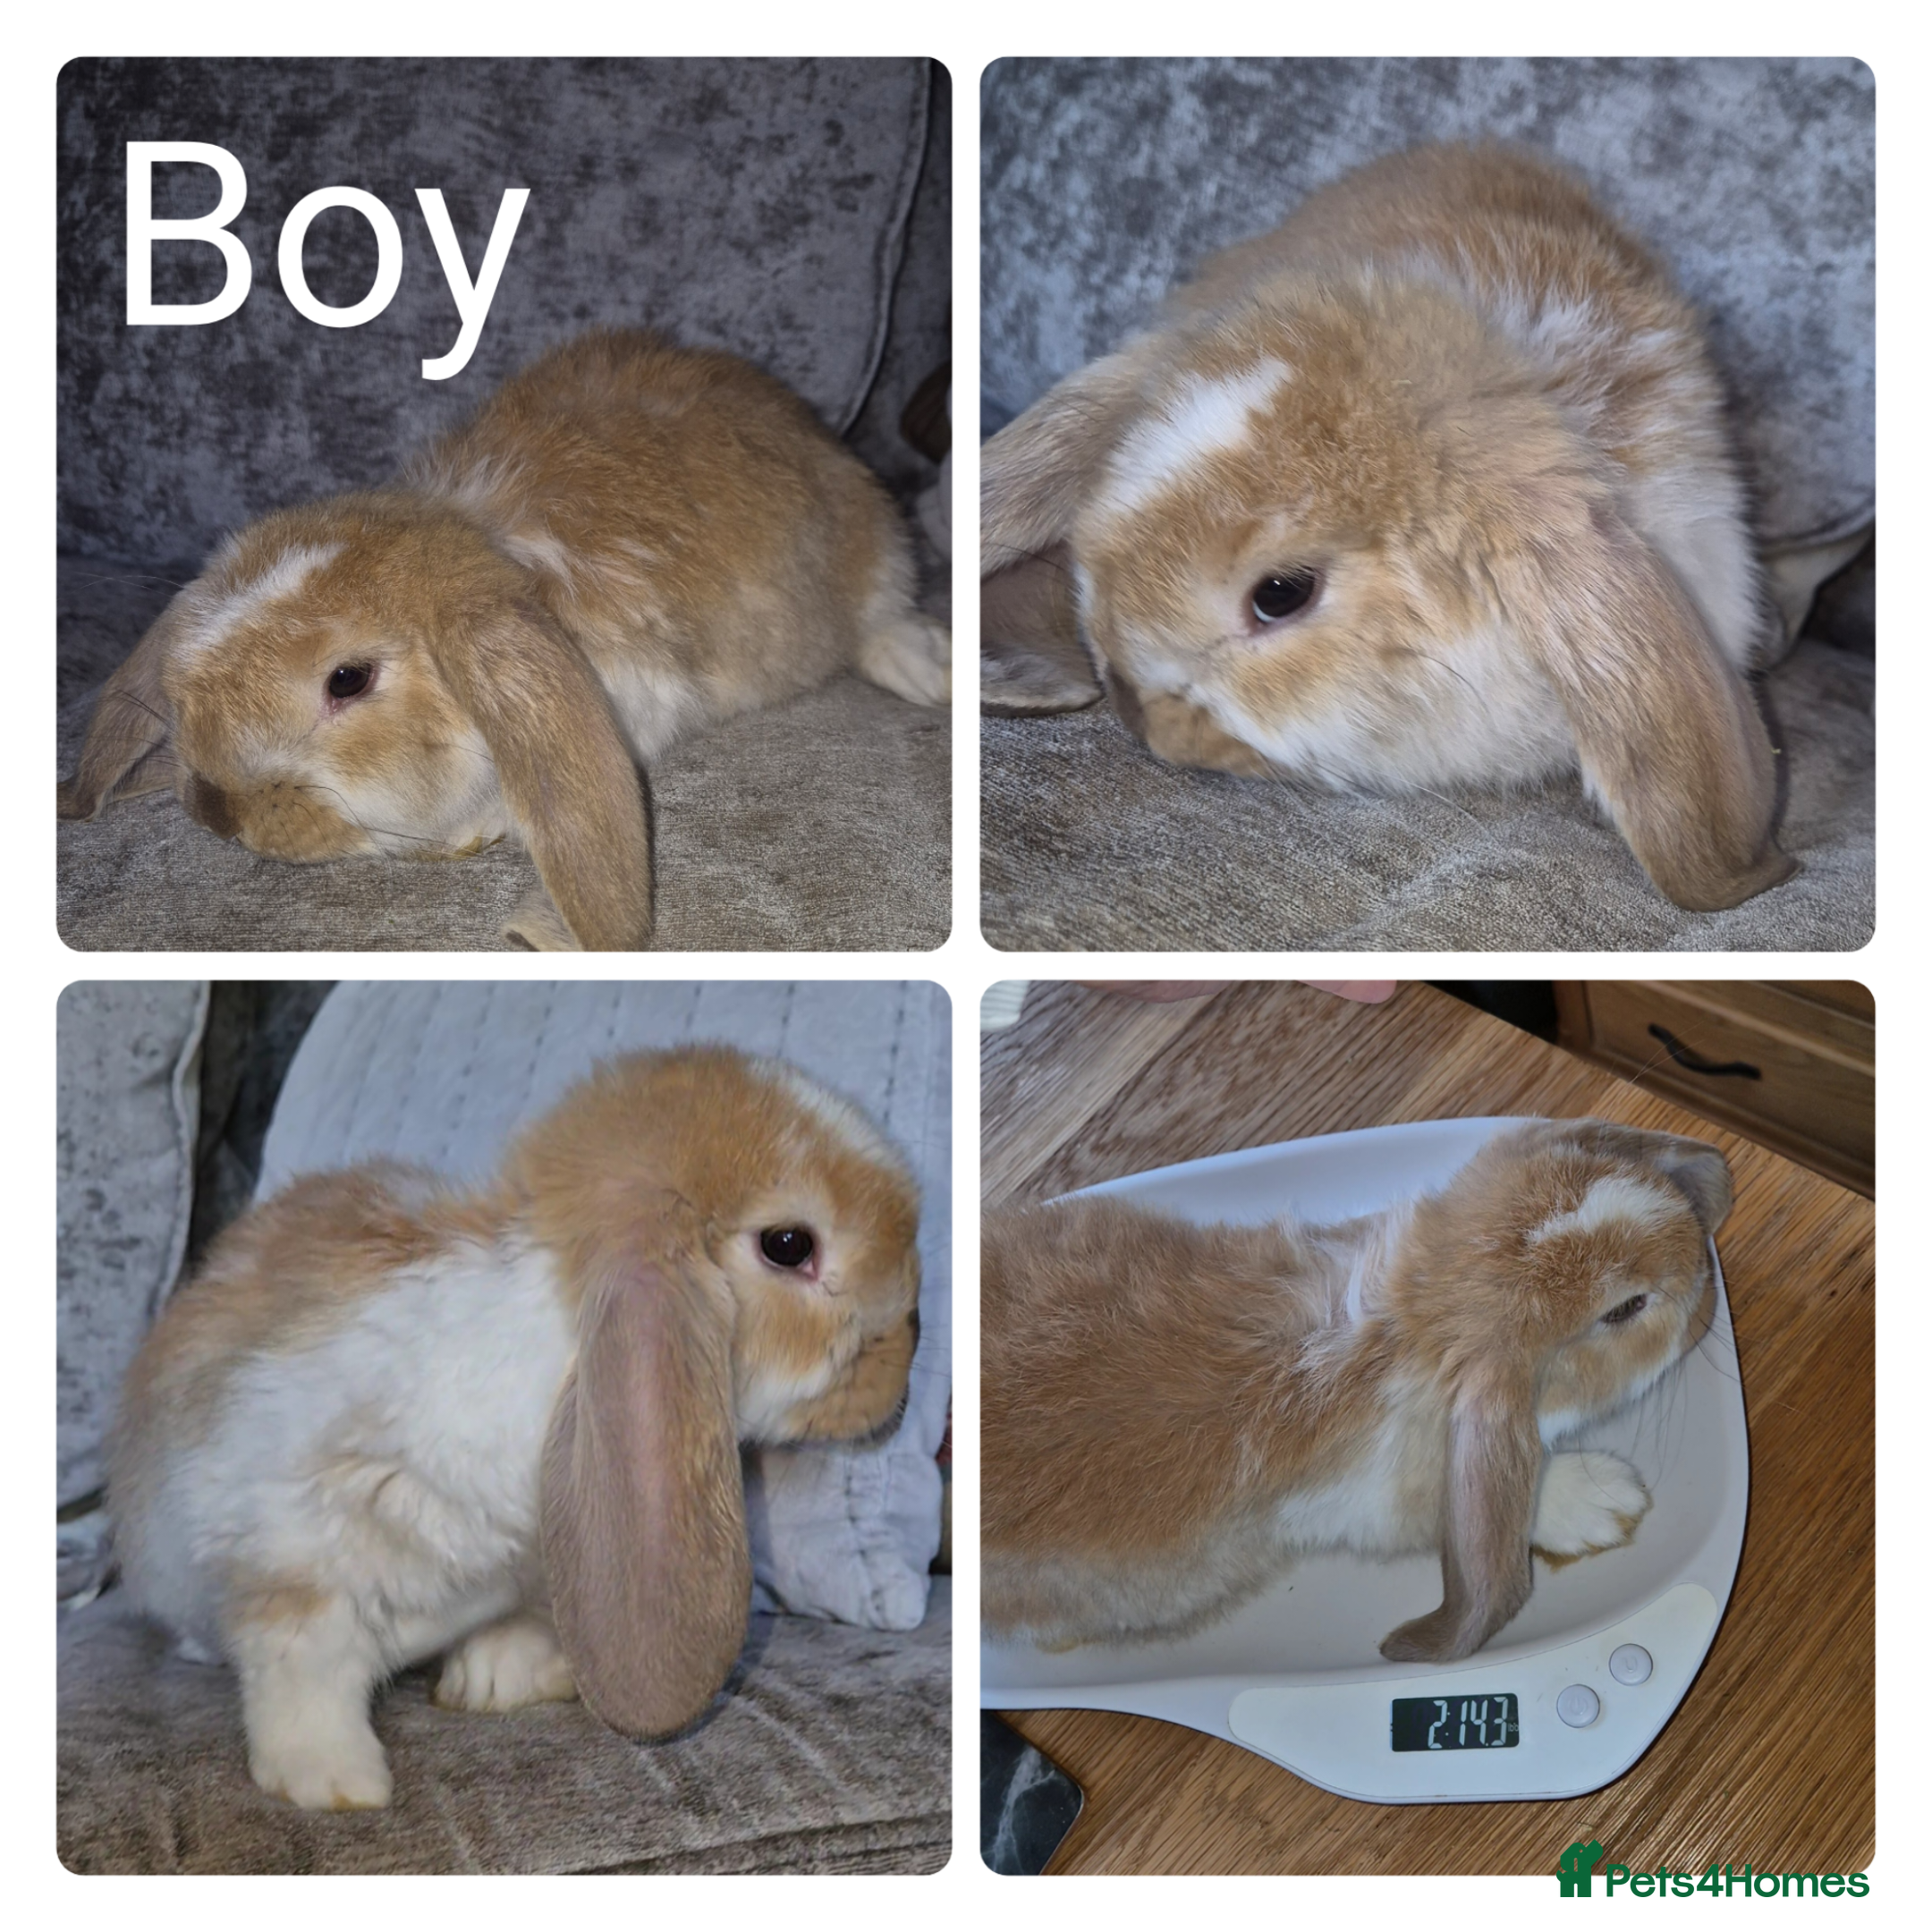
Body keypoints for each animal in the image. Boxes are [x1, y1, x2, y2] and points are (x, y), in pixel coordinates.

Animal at [106, 1045, 923, 1811]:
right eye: (789, 1245)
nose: (906, 1358)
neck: (559, 1337)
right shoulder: (296, 1537)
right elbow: (303, 1660)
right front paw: (336, 1783)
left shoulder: (543, 1560)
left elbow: (534, 1622)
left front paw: (492, 1681)